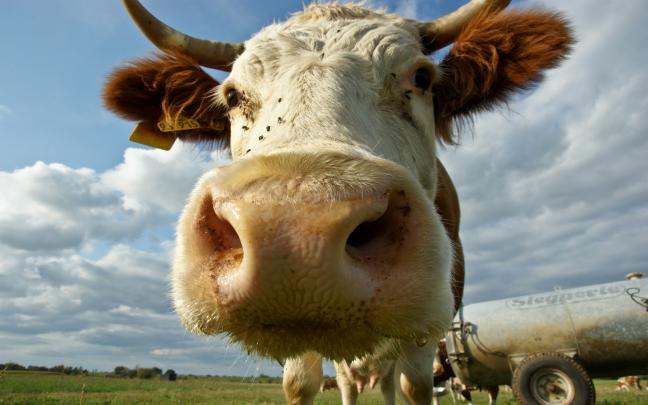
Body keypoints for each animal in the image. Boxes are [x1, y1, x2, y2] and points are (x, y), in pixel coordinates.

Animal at [103, 1, 573, 403]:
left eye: (421, 78)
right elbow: (301, 385)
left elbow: (416, 386)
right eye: (233, 96)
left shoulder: (432, 323)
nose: (295, 235)